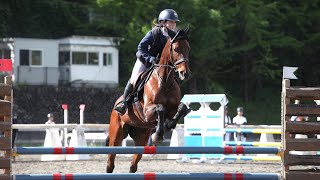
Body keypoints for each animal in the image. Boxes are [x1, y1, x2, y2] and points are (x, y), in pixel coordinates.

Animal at [106, 28, 191, 173]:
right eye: (176, 49)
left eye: (188, 48)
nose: (184, 73)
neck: (165, 81)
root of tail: (115, 104)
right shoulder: (147, 112)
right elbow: (160, 108)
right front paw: (158, 135)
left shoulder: (172, 108)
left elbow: (182, 108)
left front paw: (169, 124)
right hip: (116, 135)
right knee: (110, 161)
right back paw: (122, 106)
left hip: (141, 137)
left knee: (133, 164)